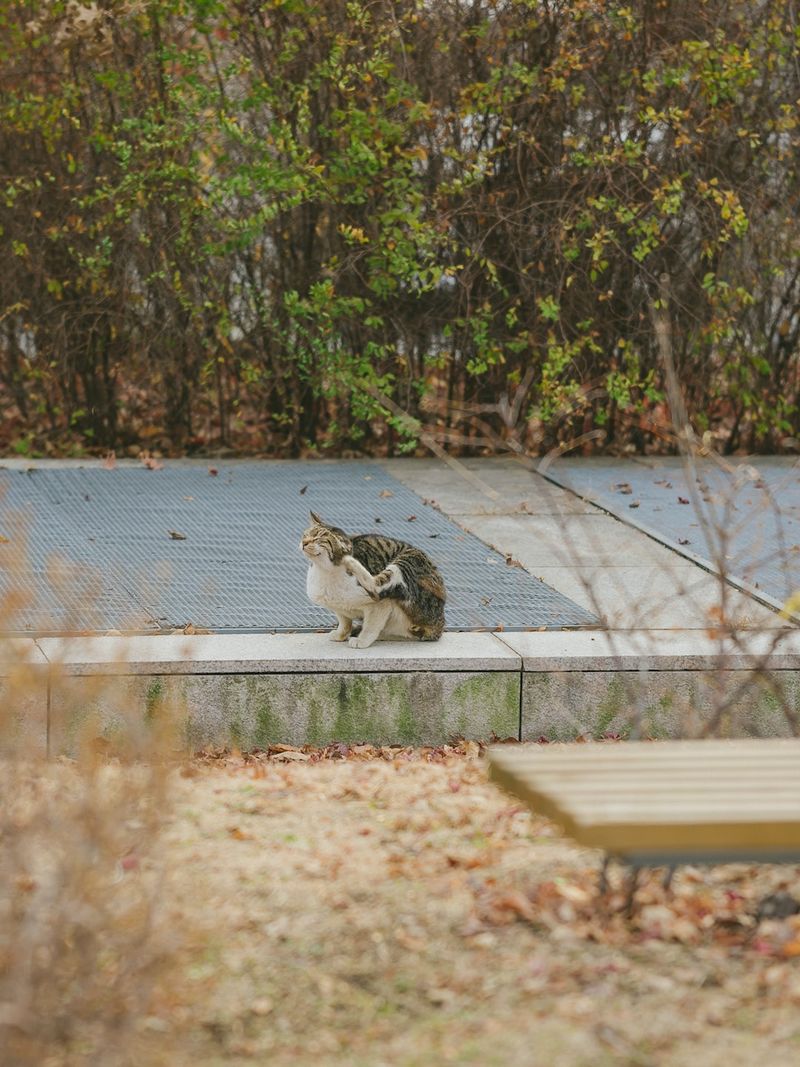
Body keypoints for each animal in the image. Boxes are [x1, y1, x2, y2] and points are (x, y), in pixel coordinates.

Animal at [302, 510, 448, 648]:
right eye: (306, 535)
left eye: (318, 539)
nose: (304, 542)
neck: (325, 571)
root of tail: (439, 626)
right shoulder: (338, 607)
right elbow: (344, 621)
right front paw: (341, 634)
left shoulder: (381, 605)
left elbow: (371, 625)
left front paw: (362, 640)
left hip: (409, 559)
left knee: (376, 587)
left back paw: (350, 561)